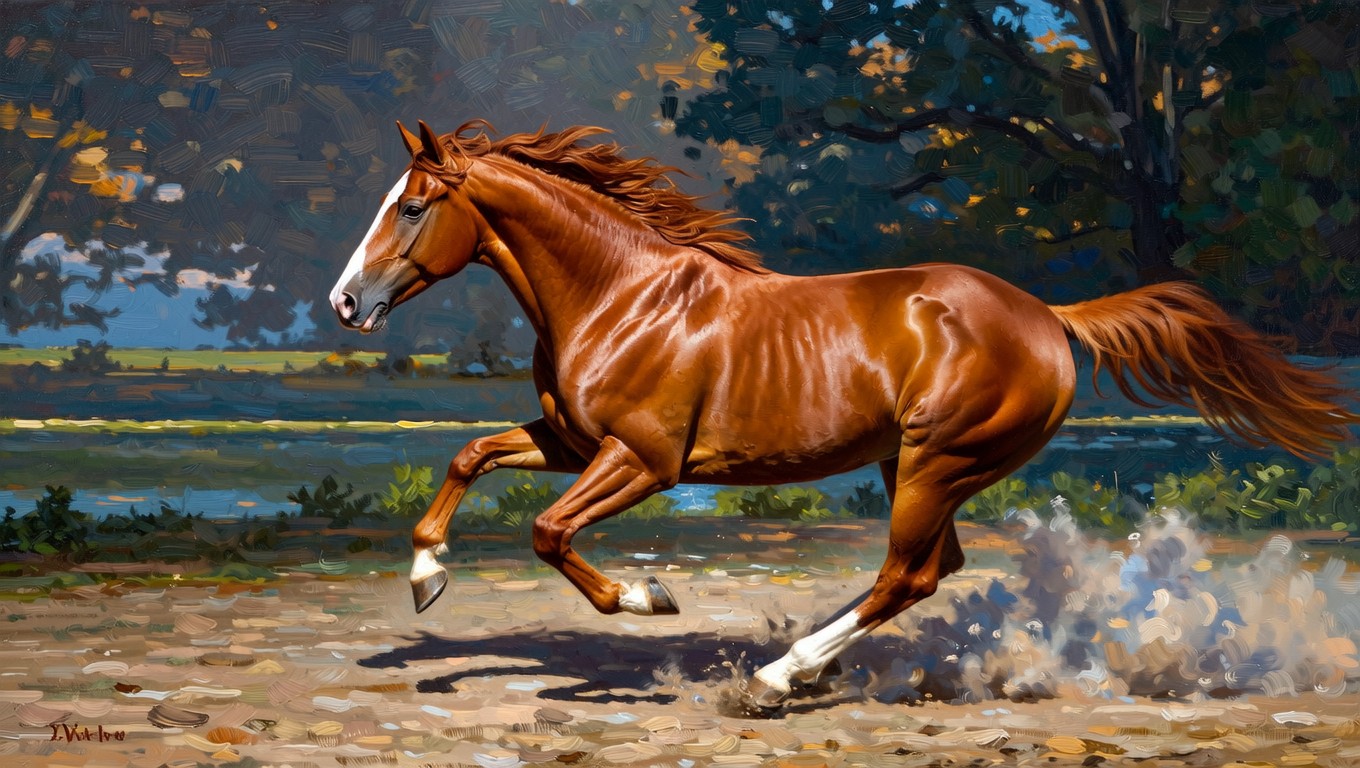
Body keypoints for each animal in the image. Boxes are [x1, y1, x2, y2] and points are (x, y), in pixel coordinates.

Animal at [329, 120, 1357, 711]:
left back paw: (776, 679)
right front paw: (426, 577)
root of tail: (1048, 317)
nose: (345, 303)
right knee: (930, 571)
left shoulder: (644, 462)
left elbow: (547, 532)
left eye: (412, 207)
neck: (621, 293)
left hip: (940, 462)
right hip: (914, 466)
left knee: (907, 575)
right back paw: (802, 670)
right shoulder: (573, 441)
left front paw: (648, 597)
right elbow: (468, 457)